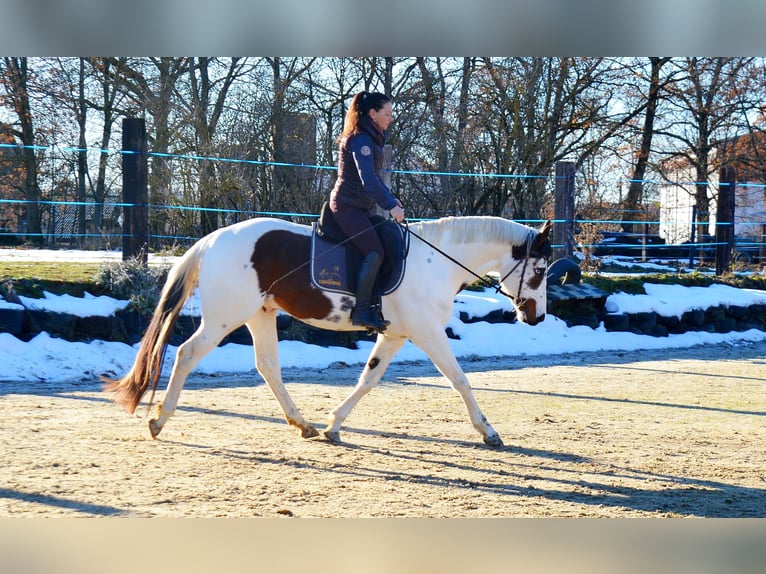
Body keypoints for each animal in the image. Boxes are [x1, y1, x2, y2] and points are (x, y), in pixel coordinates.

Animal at [103, 215, 552, 447]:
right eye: (540, 270)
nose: (537, 317)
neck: (436, 261)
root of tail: (212, 240)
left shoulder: (395, 334)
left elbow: (369, 378)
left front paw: (334, 426)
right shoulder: (427, 332)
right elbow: (459, 379)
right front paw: (489, 431)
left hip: (259, 314)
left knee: (267, 366)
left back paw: (303, 424)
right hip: (225, 318)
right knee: (186, 354)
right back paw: (159, 420)